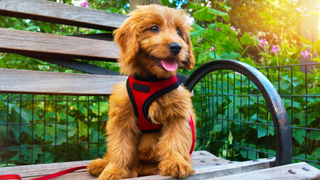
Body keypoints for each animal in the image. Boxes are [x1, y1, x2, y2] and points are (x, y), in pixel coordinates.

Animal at [88, 4, 198, 180]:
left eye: (179, 31)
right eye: (154, 28)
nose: (176, 47)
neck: (150, 81)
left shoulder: (177, 116)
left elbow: (174, 141)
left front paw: (176, 163)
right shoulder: (122, 118)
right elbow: (120, 147)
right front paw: (115, 170)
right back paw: (102, 165)